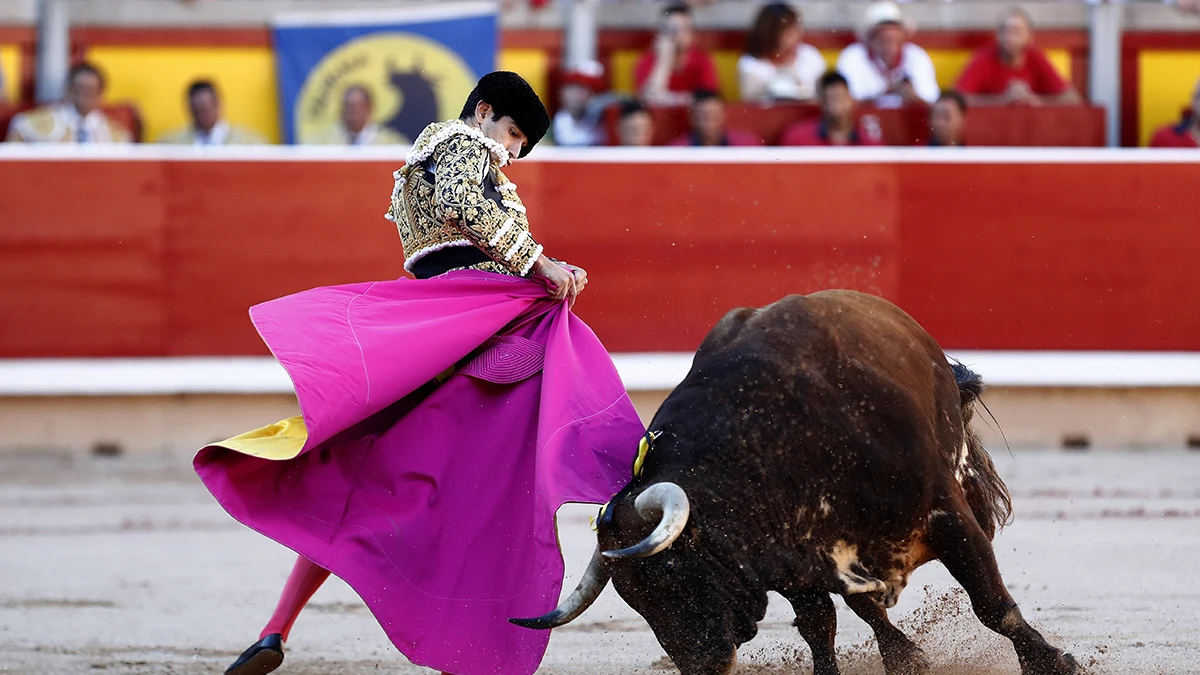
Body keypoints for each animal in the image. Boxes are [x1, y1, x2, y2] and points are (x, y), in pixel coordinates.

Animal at [513, 289, 1080, 672]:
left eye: (672, 574)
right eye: (634, 600)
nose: (703, 667)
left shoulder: (947, 515)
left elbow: (992, 604)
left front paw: (1053, 663)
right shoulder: (793, 561)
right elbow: (819, 627)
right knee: (865, 607)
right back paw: (904, 657)